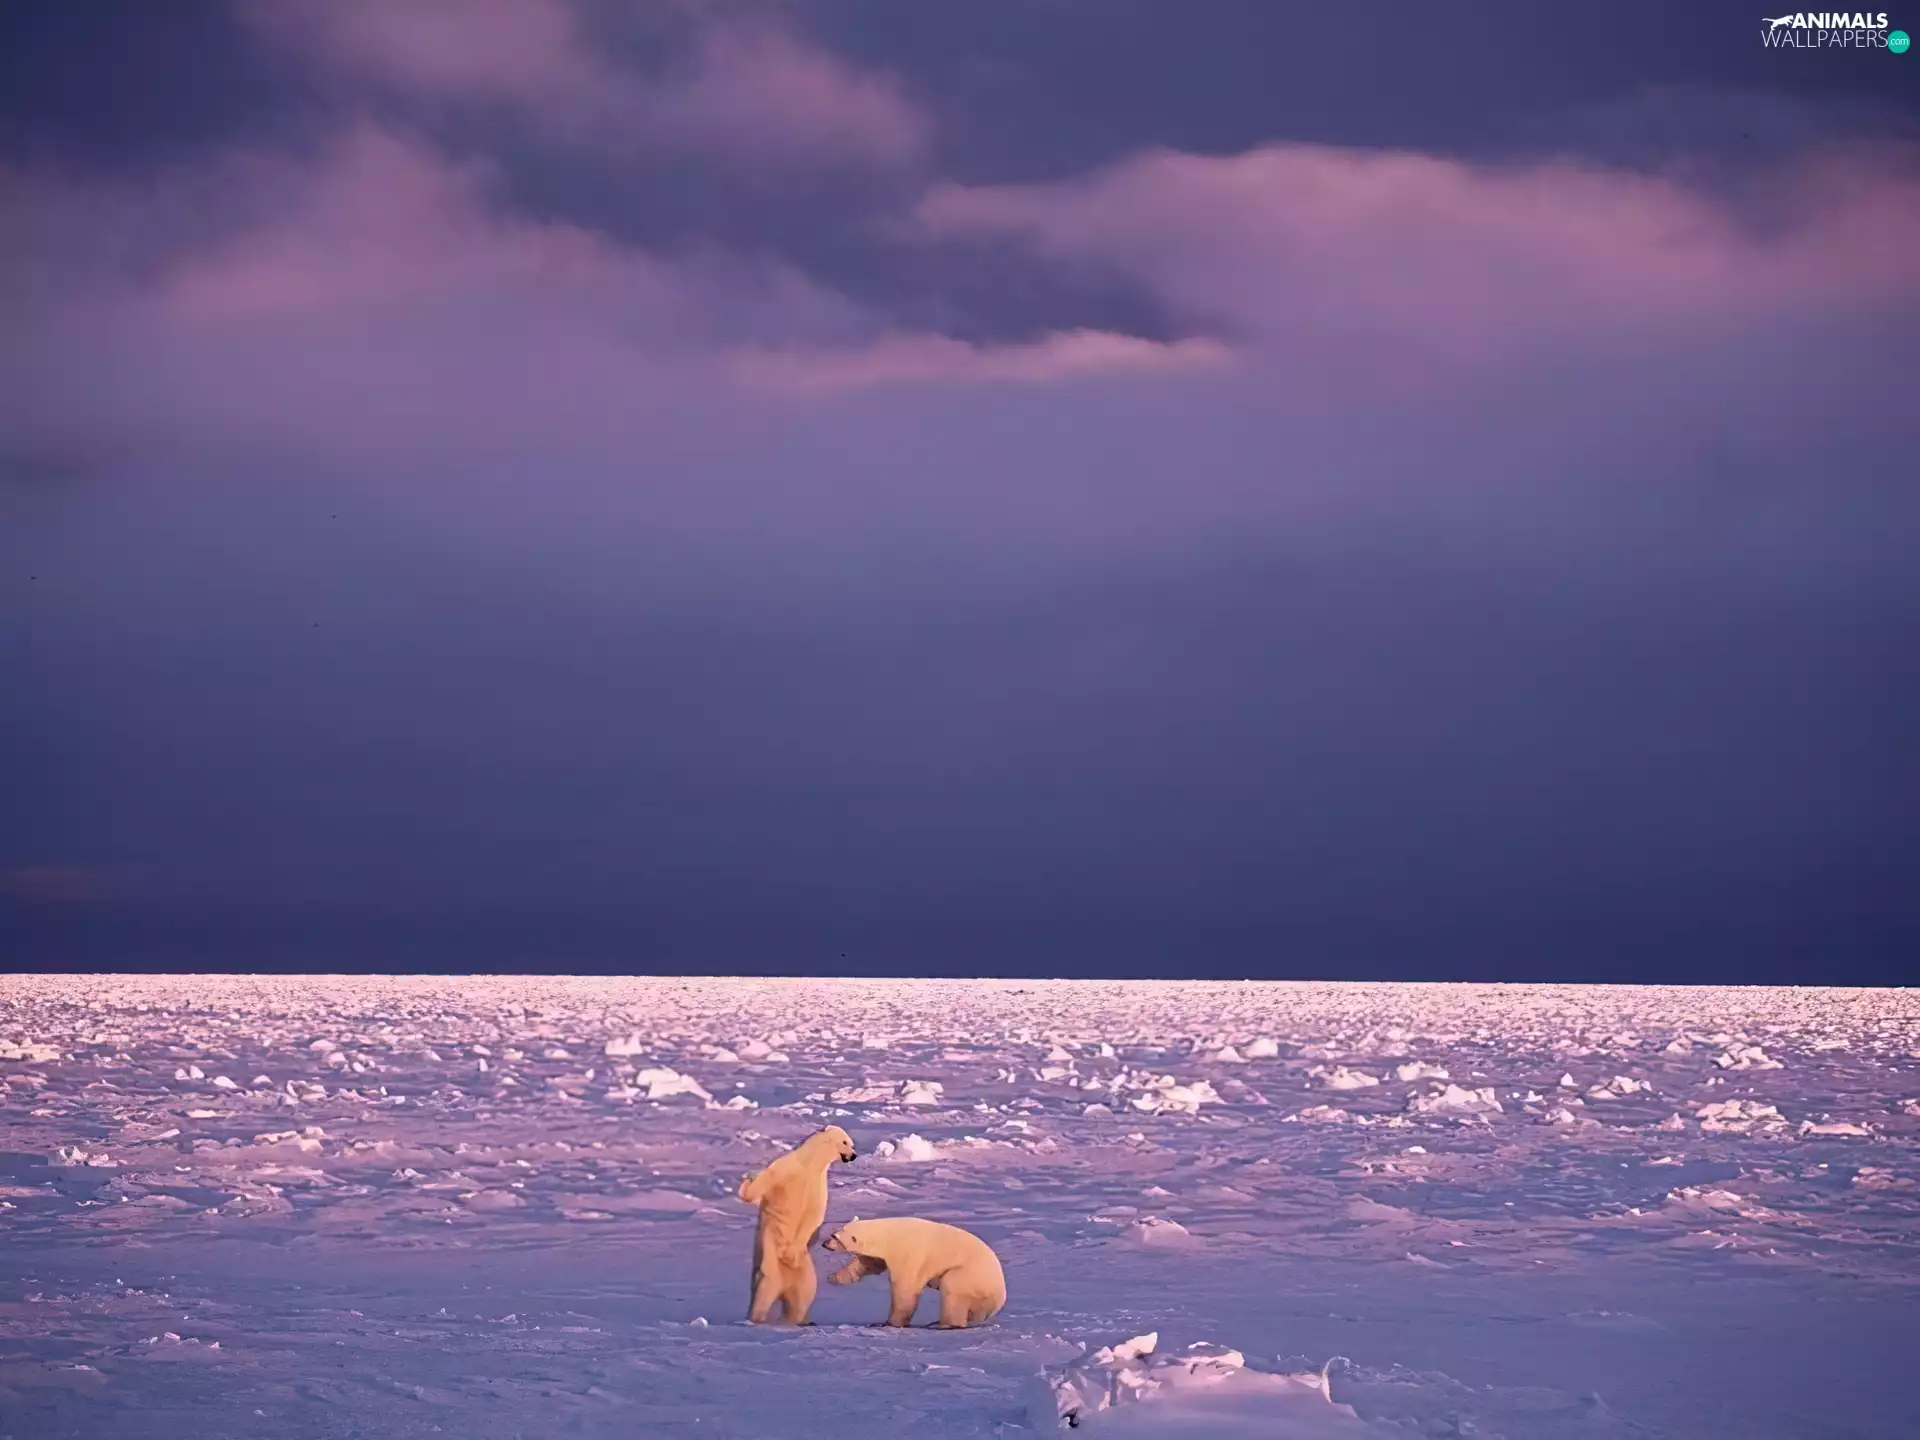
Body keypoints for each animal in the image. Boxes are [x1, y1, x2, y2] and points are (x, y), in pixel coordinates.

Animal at [736, 1124, 857, 1325]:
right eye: (845, 1142)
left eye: (852, 1144)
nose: (854, 1155)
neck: (809, 1165)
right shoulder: (785, 1169)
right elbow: (757, 1189)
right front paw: (749, 1175)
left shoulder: (817, 1186)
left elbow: (813, 1217)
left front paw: (792, 1252)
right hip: (770, 1258)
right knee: (766, 1286)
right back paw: (756, 1318)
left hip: (804, 1270)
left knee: (802, 1296)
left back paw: (795, 1320)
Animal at [823, 1216, 1006, 1329]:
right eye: (834, 1232)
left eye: (835, 1237)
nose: (825, 1243)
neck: (887, 1234)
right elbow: (870, 1264)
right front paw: (833, 1277)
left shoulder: (907, 1254)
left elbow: (905, 1288)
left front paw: (891, 1322)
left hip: (971, 1276)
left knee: (952, 1287)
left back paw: (946, 1324)